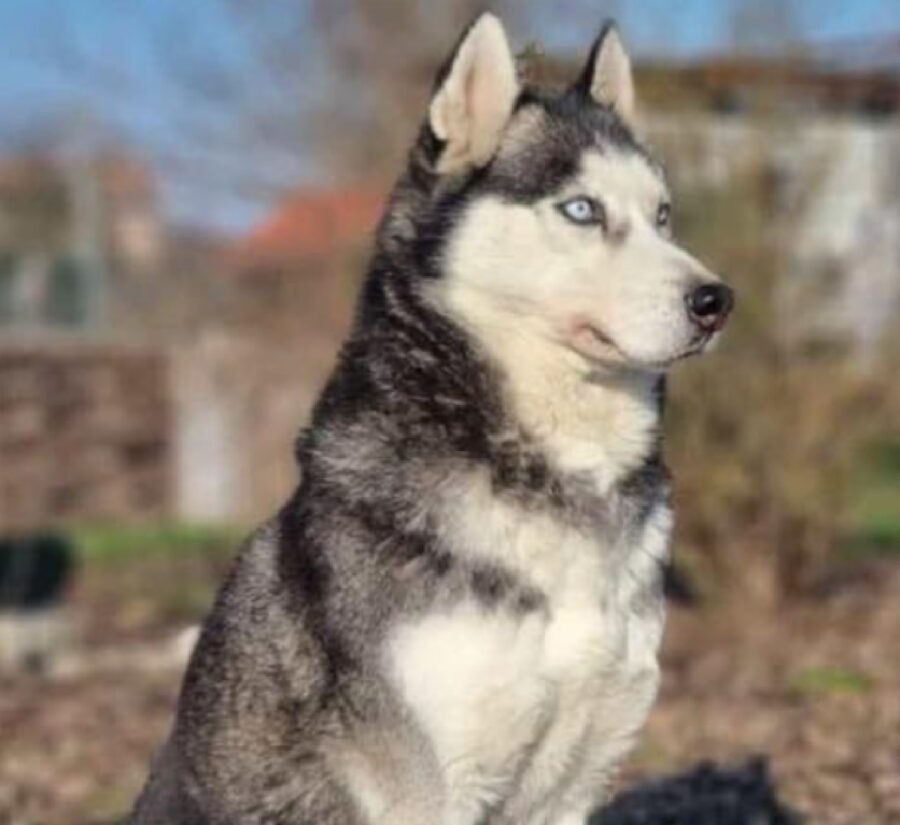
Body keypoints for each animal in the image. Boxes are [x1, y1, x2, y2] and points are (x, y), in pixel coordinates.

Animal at [130, 14, 732, 824]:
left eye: (662, 216)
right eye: (581, 209)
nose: (717, 300)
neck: (557, 472)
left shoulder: (576, 778)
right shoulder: (427, 784)